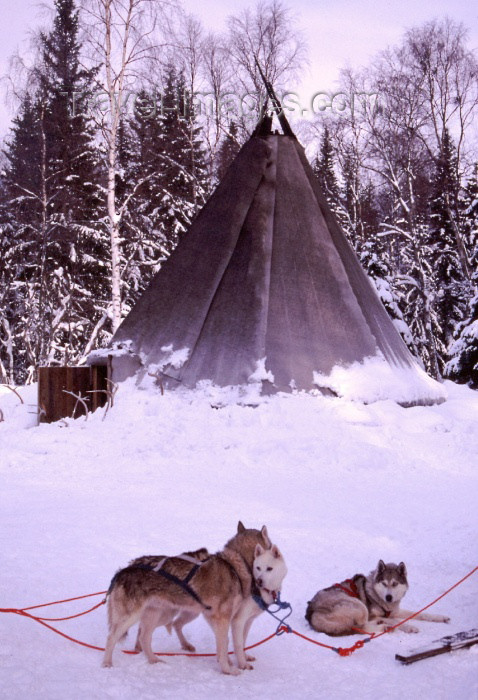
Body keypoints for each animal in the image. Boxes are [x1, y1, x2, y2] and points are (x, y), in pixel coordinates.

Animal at [102, 524, 286, 676]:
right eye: (261, 567)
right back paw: (107, 664)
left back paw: (154, 660)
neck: (235, 564)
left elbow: (229, 644)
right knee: (111, 637)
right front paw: (229, 669)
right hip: (131, 617)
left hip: (159, 615)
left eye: (269, 568)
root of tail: (123, 570)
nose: (260, 582)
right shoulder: (225, 619)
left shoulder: (228, 619)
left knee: (144, 636)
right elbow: (228, 644)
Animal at [304, 560, 450, 636]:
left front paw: (440, 617)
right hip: (360, 606)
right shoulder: (373, 615)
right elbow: (396, 620)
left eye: (395, 584)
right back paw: (384, 627)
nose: (389, 597)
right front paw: (409, 627)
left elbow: (421, 614)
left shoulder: (395, 611)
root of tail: (311, 611)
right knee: (360, 627)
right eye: (384, 583)